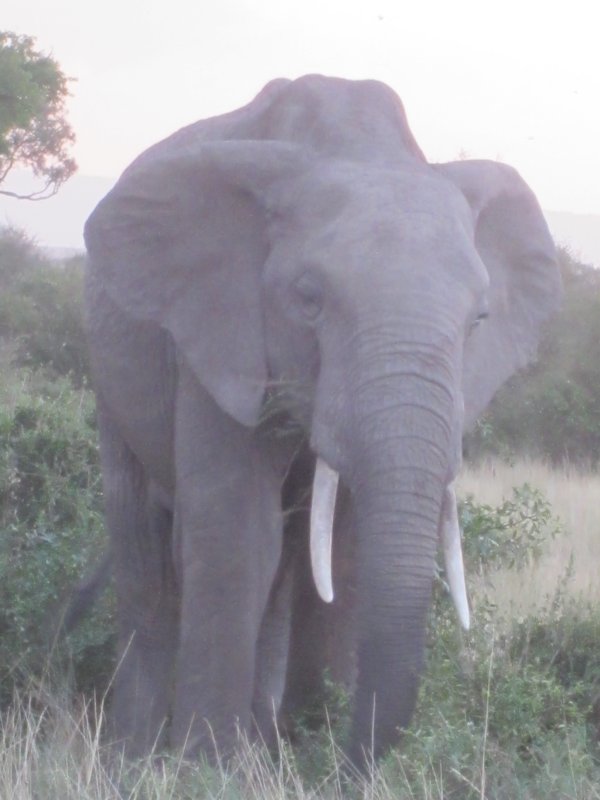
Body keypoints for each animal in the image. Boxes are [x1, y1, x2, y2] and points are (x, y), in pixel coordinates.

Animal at [83, 74, 561, 767]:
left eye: (479, 319)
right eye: (309, 300)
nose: (348, 762)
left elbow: (346, 554)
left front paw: (304, 751)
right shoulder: (218, 332)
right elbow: (235, 534)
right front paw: (204, 770)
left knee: (285, 570)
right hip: (111, 375)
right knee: (146, 562)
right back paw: (134, 757)